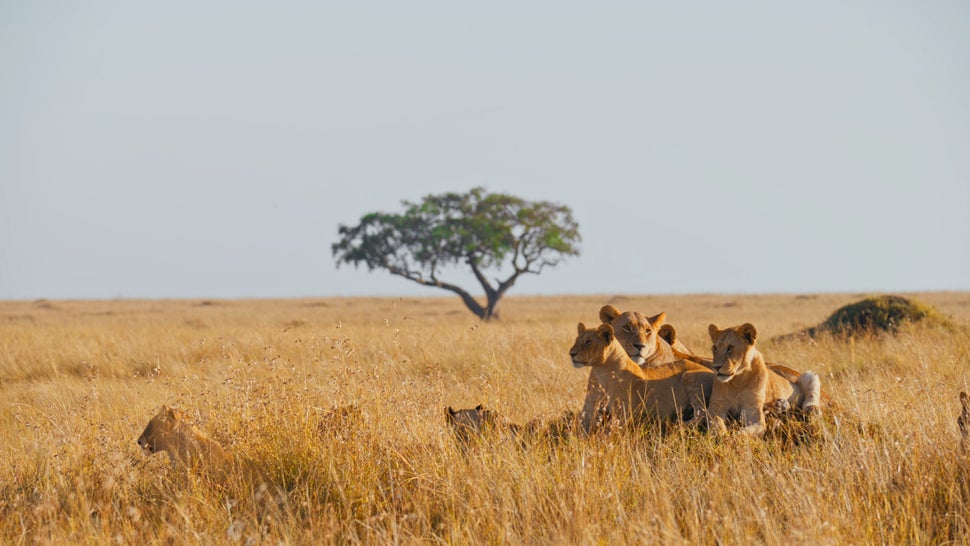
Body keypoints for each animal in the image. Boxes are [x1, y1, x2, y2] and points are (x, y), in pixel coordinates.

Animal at [568, 318, 712, 430]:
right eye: (576, 340)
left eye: (588, 341)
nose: (571, 353)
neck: (601, 372)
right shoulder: (591, 409)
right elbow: (579, 425)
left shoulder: (623, 414)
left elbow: (606, 432)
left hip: (689, 377)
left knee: (702, 412)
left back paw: (681, 425)